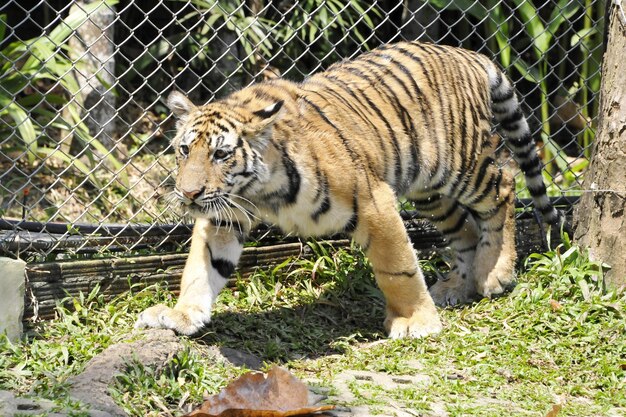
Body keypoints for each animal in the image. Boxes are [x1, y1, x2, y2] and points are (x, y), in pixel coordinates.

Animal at [135, 39, 560, 338]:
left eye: (221, 154)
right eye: (184, 150)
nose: (189, 194)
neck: (262, 188)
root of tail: (468, 53)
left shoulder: (374, 200)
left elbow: (398, 268)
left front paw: (416, 321)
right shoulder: (226, 213)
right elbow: (201, 267)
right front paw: (180, 315)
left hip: (462, 165)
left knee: (504, 187)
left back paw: (495, 273)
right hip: (428, 191)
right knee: (465, 230)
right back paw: (456, 286)